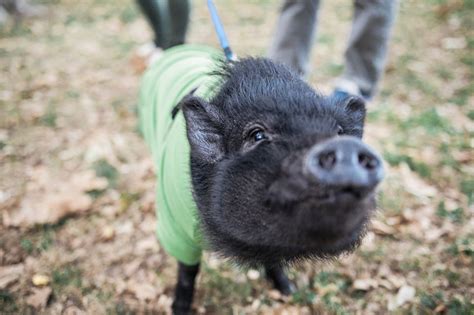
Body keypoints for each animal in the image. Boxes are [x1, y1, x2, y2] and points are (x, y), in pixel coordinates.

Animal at [139, 45, 384, 315]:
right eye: (256, 135)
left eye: (339, 132)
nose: (345, 148)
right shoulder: (175, 225)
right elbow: (187, 270)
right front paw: (179, 309)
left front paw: (288, 290)